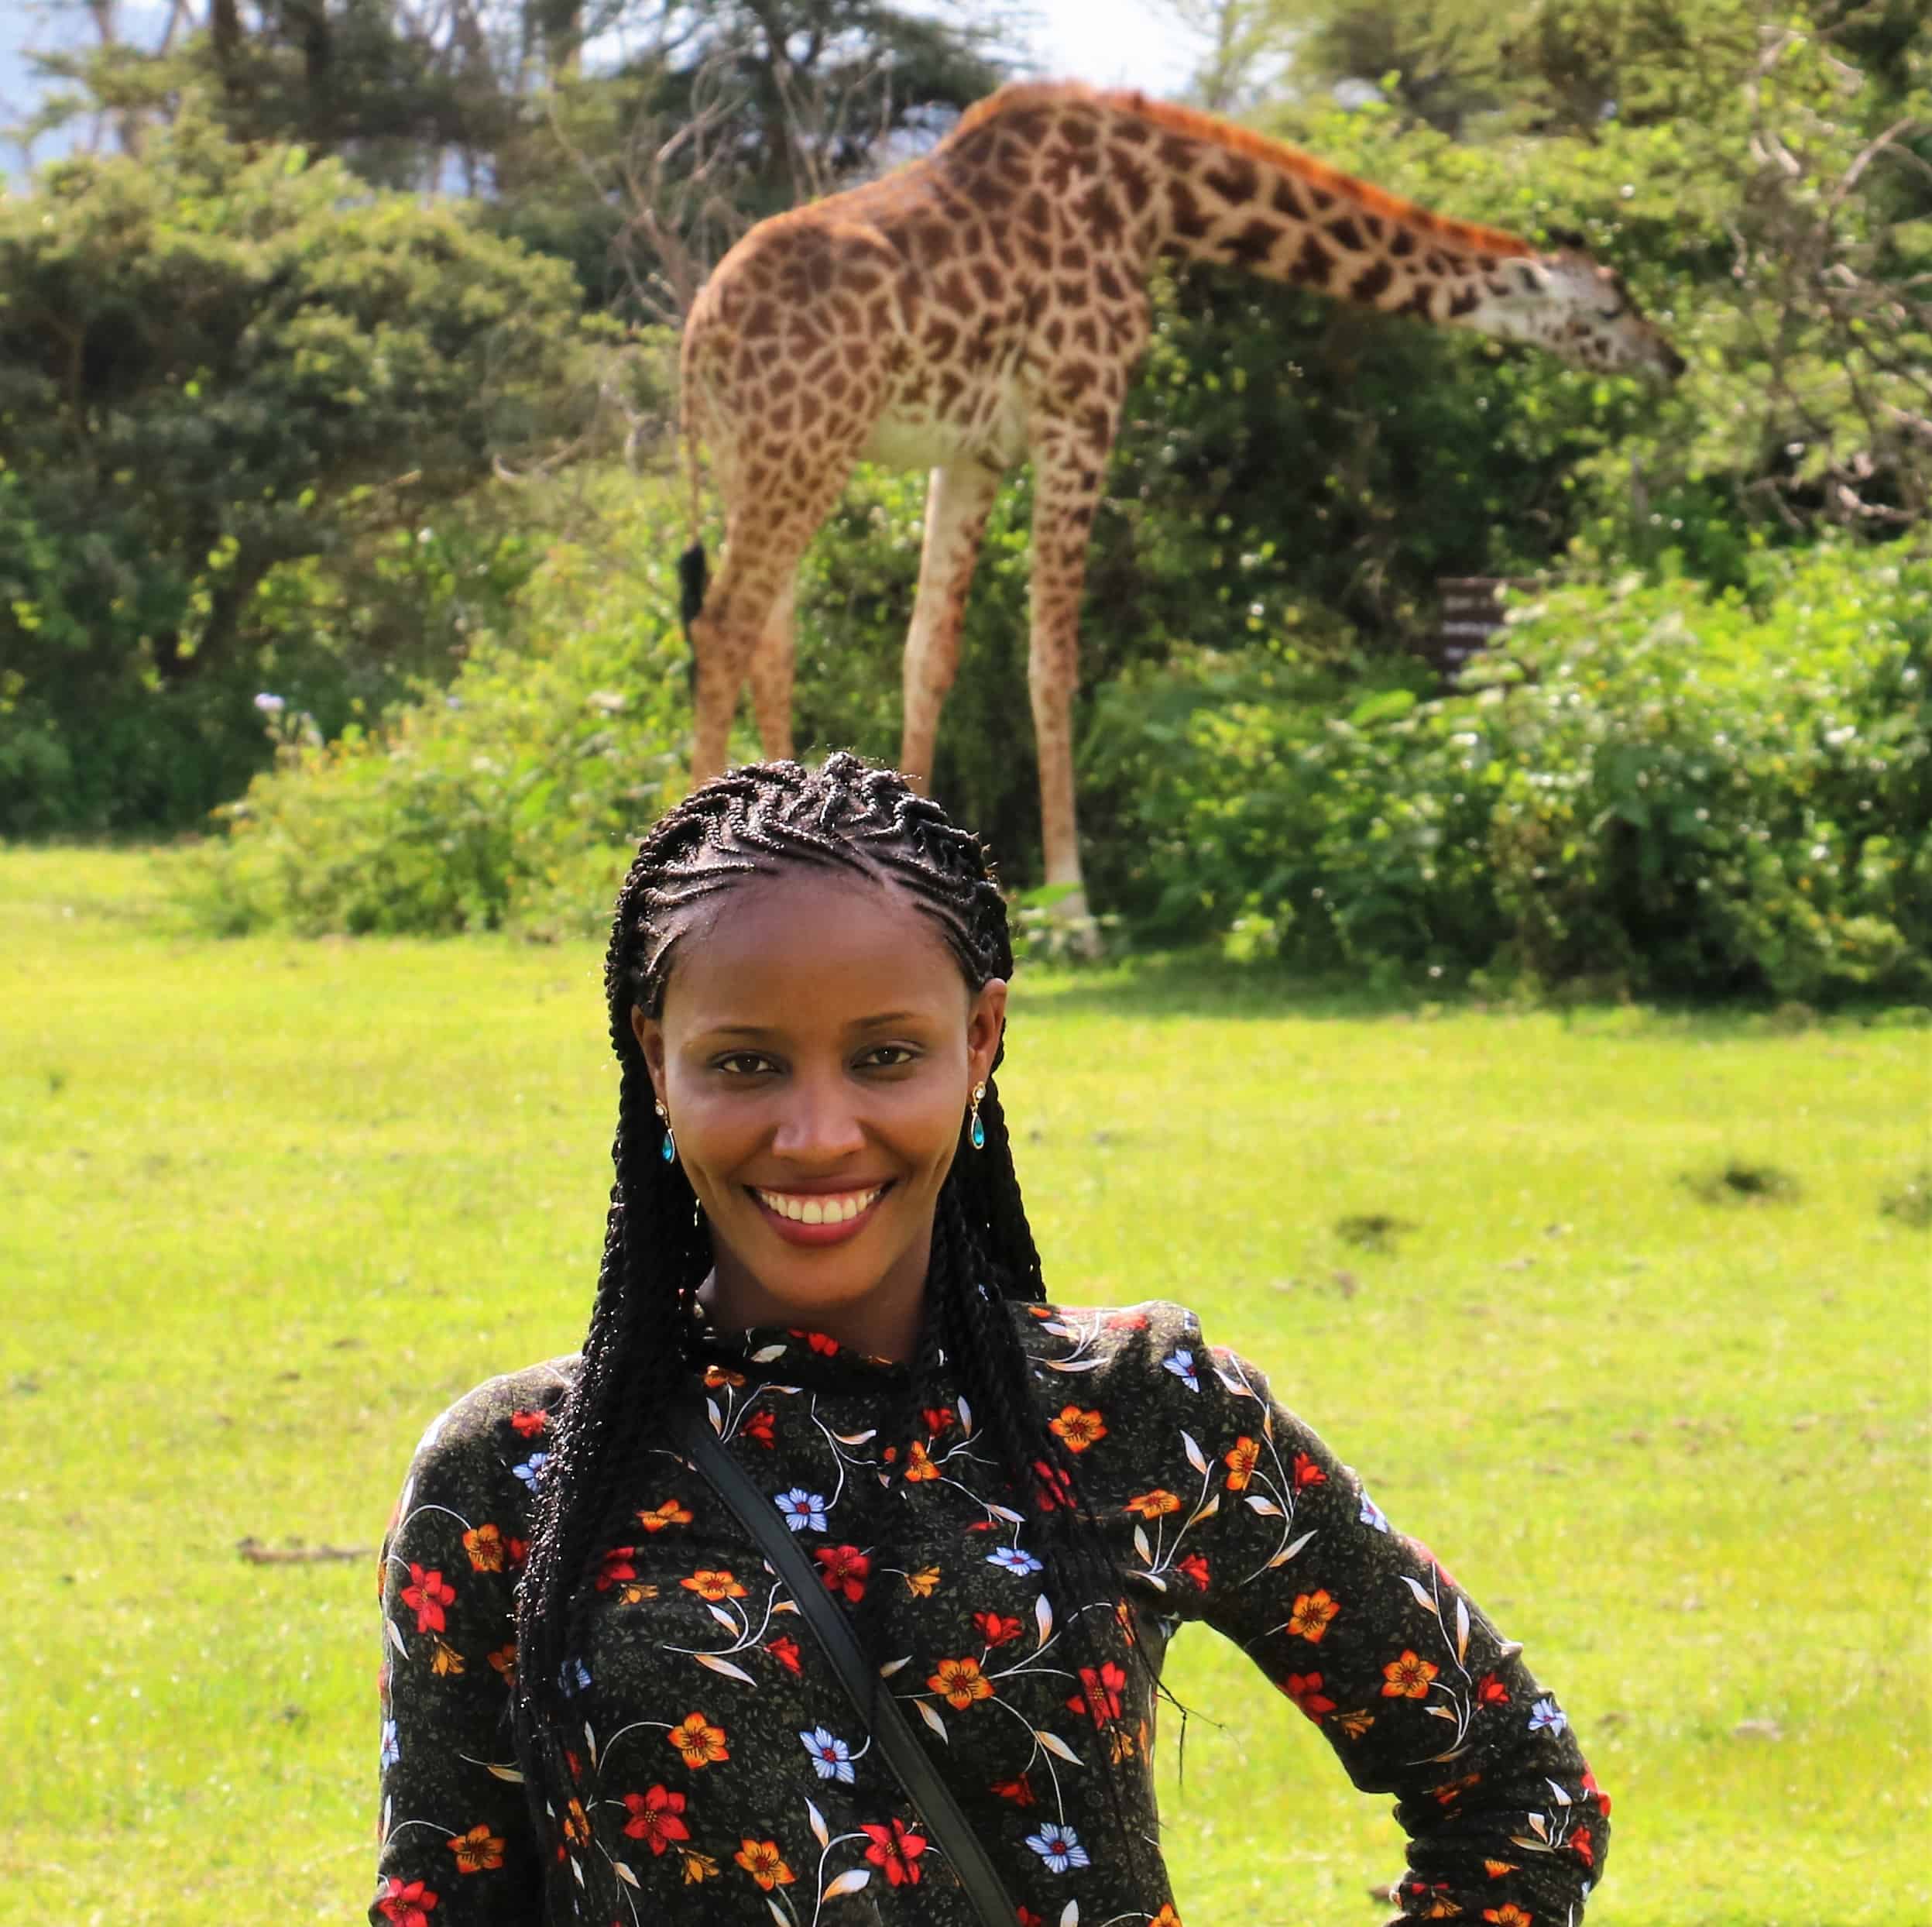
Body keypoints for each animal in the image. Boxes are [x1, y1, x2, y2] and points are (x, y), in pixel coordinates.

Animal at [678, 80, 1682, 918]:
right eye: (1606, 310)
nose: (1668, 359)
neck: (1157, 193)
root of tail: (698, 340)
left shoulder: (971, 452)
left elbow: (928, 650)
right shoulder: (1079, 413)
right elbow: (1052, 659)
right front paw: (1073, 909)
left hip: (766, 457)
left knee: (769, 636)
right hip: (806, 442)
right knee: (725, 623)